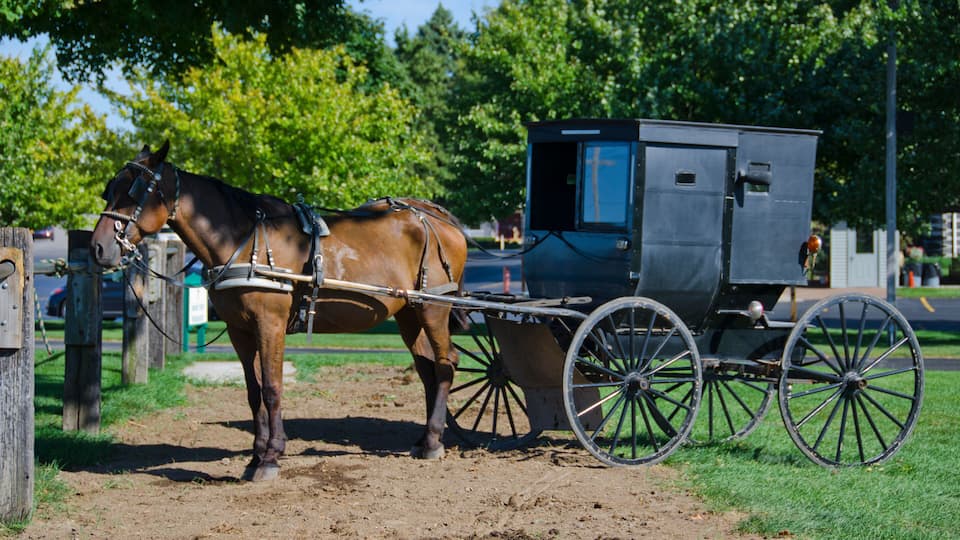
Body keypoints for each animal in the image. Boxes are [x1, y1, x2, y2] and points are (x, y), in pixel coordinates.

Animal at [91, 142, 468, 481]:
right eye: (110, 190)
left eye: (135, 191)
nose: (99, 247)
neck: (242, 239)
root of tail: (435, 216)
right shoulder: (240, 330)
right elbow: (253, 391)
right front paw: (256, 456)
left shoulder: (269, 323)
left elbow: (272, 387)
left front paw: (271, 458)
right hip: (409, 313)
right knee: (427, 368)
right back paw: (424, 437)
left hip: (434, 308)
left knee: (446, 363)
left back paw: (433, 441)